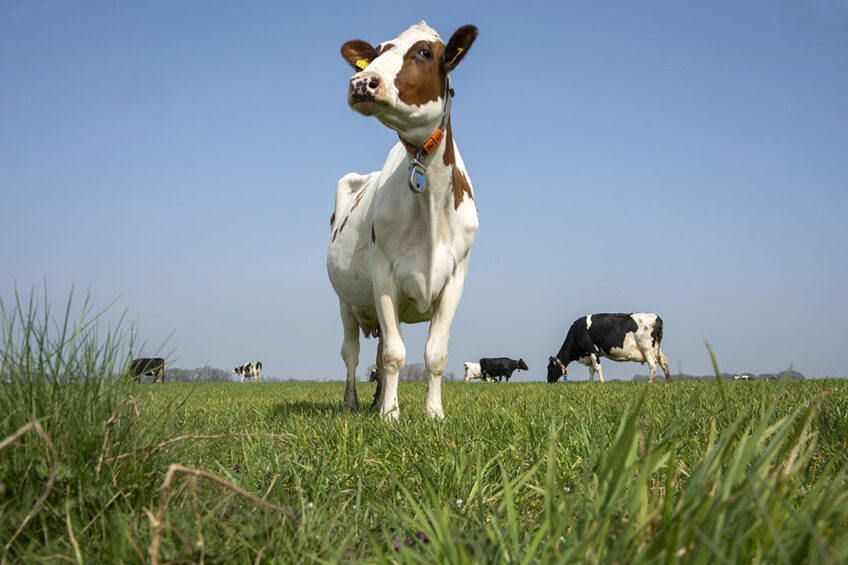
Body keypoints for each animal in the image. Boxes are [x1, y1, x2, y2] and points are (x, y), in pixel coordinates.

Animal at [328, 22, 480, 418]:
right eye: (376, 52)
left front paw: (433, 414)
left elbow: (435, 355)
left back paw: (379, 397)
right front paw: (390, 416)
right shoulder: (383, 274)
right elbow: (396, 355)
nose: (361, 83)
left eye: (425, 52)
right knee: (352, 354)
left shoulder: (455, 279)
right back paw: (353, 403)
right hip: (345, 302)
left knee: (379, 351)